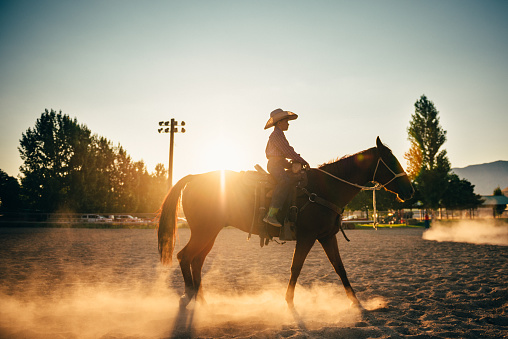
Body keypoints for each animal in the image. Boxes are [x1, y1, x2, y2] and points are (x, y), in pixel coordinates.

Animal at [159, 137, 412, 310]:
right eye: (392, 161)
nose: (410, 191)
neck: (322, 190)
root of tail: (194, 178)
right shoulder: (307, 237)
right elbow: (296, 267)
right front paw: (289, 301)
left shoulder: (327, 236)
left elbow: (339, 267)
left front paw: (356, 302)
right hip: (204, 231)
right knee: (185, 257)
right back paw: (189, 297)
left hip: (209, 233)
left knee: (197, 260)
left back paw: (201, 299)